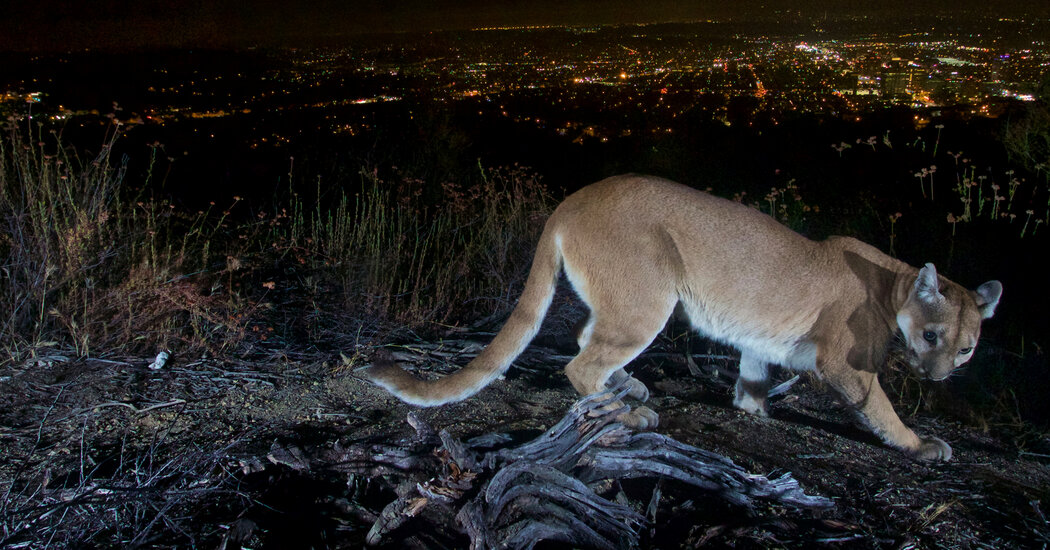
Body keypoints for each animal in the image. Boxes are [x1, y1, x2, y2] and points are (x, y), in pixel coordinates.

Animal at [361, 175, 999, 459]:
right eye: (933, 335)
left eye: (967, 347)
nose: (940, 375)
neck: (894, 284)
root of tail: (571, 199)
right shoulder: (847, 364)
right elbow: (880, 406)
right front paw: (919, 444)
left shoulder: (759, 339)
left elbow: (752, 376)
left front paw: (753, 409)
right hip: (650, 297)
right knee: (581, 363)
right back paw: (629, 411)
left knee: (586, 337)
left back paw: (631, 388)